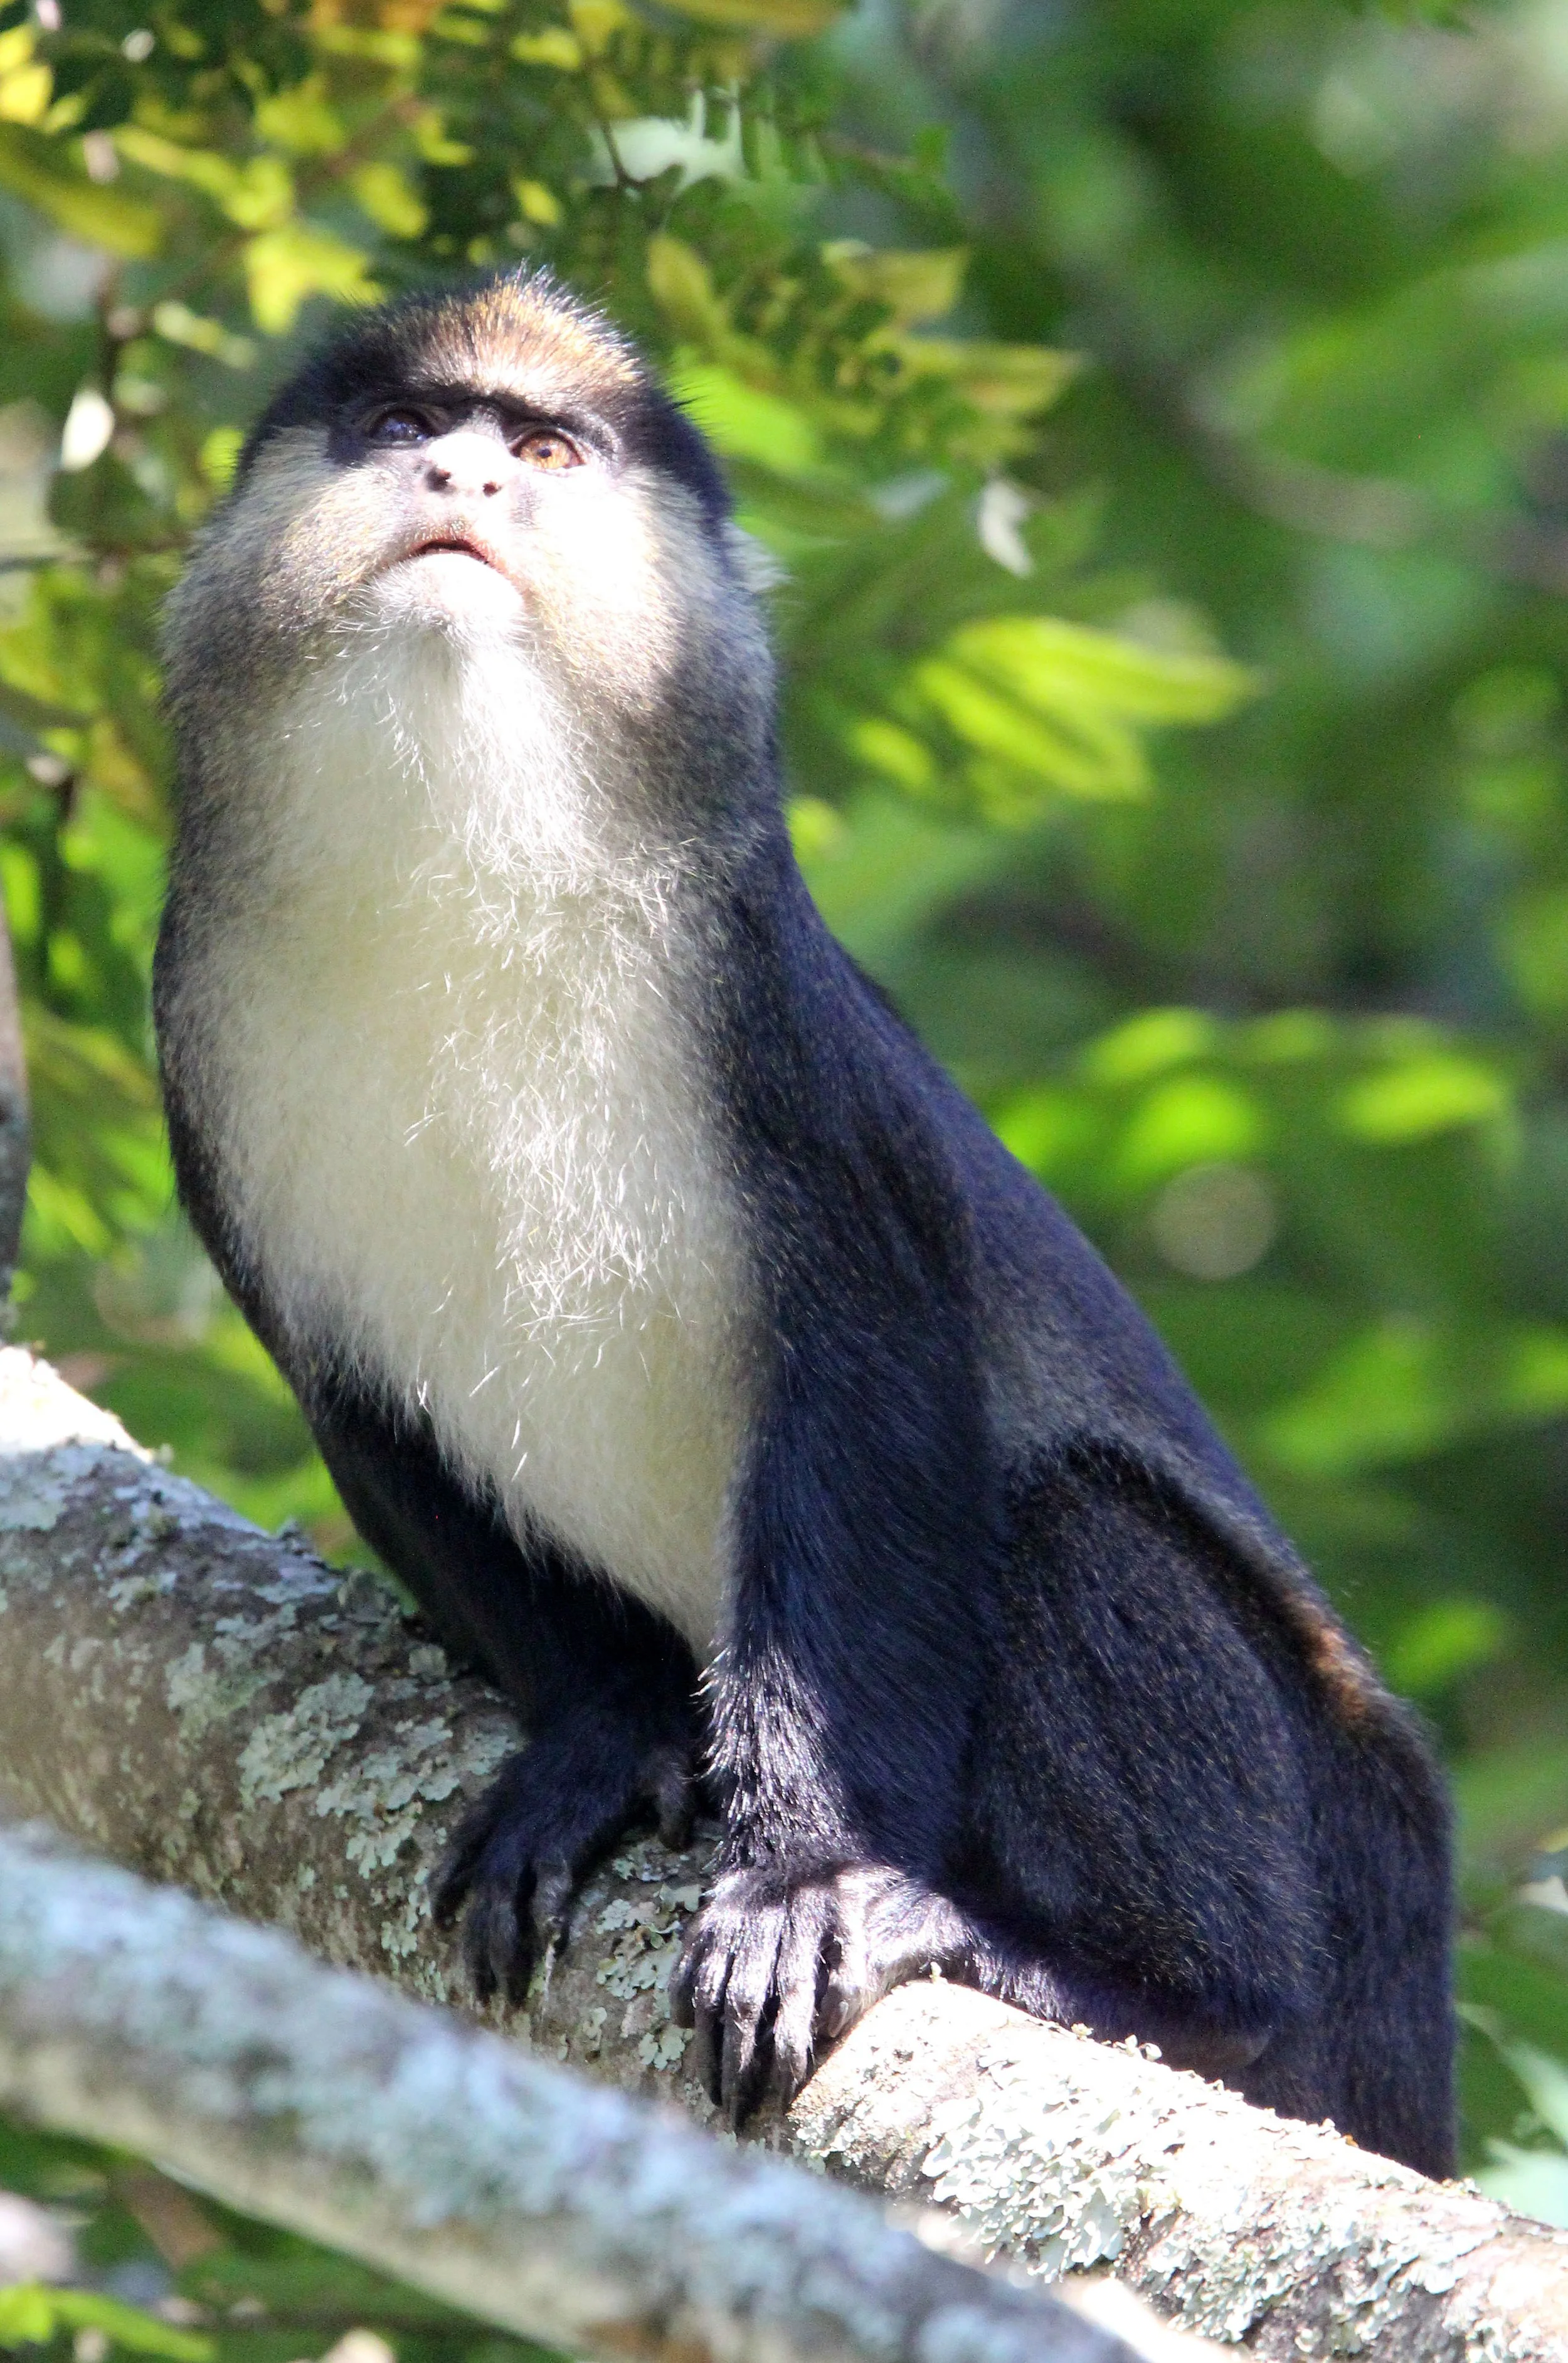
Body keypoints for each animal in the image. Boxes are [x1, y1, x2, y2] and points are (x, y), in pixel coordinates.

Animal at [152, 268, 1454, 2176]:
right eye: (403, 427)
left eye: (548, 448)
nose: (462, 478)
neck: (454, 867)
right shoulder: (207, 1069)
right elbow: (373, 1416)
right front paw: (603, 1742)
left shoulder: (781, 1043)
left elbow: (876, 1405)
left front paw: (806, 1876)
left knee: (1081, 1530)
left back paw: (1152, 1985)